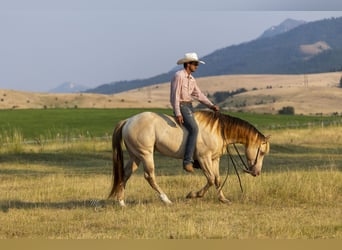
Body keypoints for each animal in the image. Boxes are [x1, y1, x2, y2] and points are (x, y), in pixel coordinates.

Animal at [109, 110, 270, 206]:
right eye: (262, 152)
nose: (257, 172)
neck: (219, 130)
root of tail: (128, 121)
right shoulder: (204, 158)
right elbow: (210, 179)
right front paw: (193, 195)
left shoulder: (214, 159)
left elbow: (217, 179)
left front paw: (223, 199)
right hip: (146, 155)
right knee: (150, 176)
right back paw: (166, 199)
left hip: (135, 156)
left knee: (125, 174)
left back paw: (121, 202)